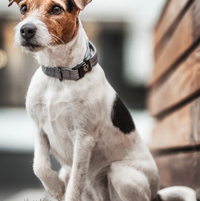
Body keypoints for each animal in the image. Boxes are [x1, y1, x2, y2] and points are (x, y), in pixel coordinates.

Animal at [8, 0, 198, 201]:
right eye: (23, 8)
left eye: (56, 9)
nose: (26, 29)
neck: (60, 76)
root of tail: (157, 194)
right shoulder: (39, 129)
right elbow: (39, 166)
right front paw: (55, 188)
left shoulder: (83, 138)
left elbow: (75, 184)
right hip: (76, 176)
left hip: (121, 173)